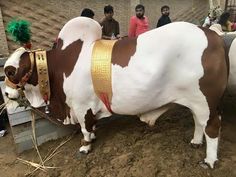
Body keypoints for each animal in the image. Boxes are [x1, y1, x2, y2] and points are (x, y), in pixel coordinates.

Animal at [3, 17, 229, 168]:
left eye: (10, 71)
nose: (6, 94)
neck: (61, 64)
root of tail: (213, 36)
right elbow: (91, 126)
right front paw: (93, 137)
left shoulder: (81, 106)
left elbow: (85, 129)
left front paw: (85, 146)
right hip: (196, 101)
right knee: (198, 121)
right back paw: (196, 142)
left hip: (206, 101)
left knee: (212, 126)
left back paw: (209, 161)